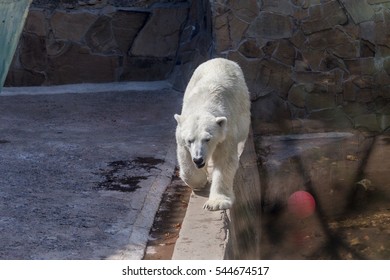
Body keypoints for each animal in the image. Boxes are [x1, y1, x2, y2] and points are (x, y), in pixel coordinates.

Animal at [174, 58, 250, 210]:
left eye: (207, 139)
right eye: (189, 140)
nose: (198, 159)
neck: (204, 103)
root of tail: (221, 59)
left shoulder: (227, 133)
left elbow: (225, 161)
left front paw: (216, 203)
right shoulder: (181, 136)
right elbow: (185, 160)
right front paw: (200, 181)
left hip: (243, 110)